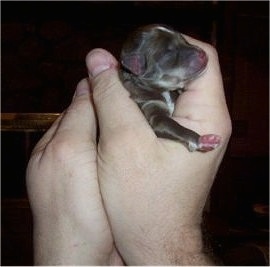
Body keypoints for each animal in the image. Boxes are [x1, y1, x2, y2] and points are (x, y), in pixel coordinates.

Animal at [119, 24, 220, 153]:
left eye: (184, 39)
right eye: (168, 53)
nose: (202, 52)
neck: (164, 91)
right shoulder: (150, 106)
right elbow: (169, 124)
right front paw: (202, 140)